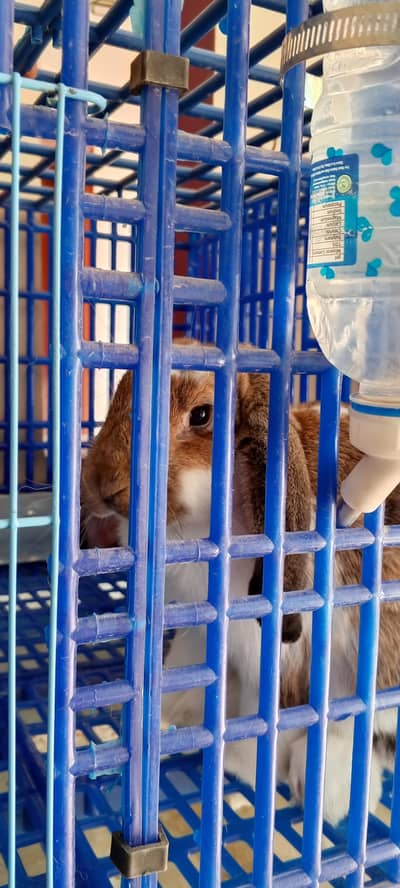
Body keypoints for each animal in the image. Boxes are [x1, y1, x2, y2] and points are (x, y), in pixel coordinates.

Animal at [81, 346, 400, 826]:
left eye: (201, 415)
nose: (101, 483)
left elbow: (270, 717)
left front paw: (242, 766)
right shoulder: (211, 639)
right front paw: (160, 726)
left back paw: (330, 793)